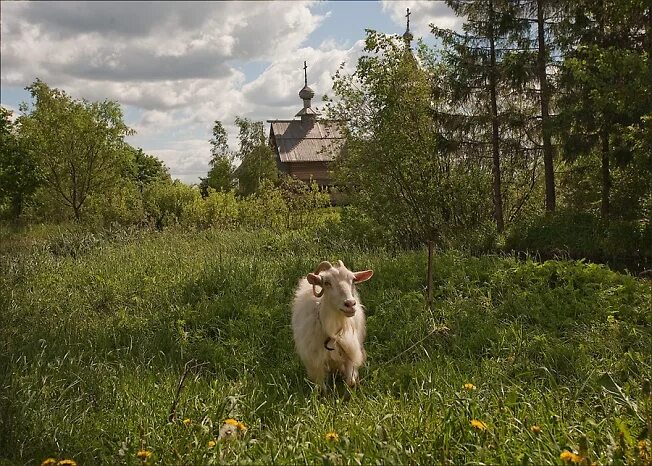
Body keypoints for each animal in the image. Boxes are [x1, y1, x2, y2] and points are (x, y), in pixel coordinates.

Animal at [291, 260, 374, 389]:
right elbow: (322, 388)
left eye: (353, 280)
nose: (350, 304)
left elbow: (350, 381)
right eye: (326, 282)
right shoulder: (316, 363)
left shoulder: (350, 353)